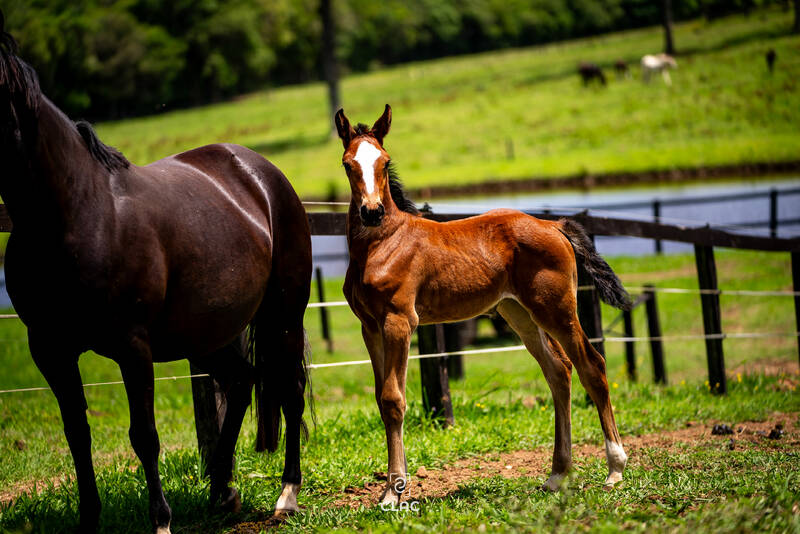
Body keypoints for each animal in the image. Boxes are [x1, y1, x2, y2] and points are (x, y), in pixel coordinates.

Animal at [0, 13, 310, 534]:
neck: (77, 214)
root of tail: (260, 172)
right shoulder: (50, 348)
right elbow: (76, 433)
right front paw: (89, 518)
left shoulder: (132, 345)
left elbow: (143, 434)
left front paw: (160, 520)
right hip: (208, 335)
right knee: (243, 381)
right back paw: (221, 489)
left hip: (282, 315)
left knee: (289, 391)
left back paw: (286, 493)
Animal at [334, 107, 636, 508]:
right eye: (348, 164)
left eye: (384, 162)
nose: (371, 212)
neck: (383, 243)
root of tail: (554, 225)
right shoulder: (369, 326)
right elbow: (382, 402)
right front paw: (394, 487)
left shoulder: (399, 322)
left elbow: (394, 399)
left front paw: (392, 494)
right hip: (519, 314)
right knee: (559, 371)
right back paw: (556, 475)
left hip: (556, 309)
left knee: (592, 365)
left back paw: (615, 470)